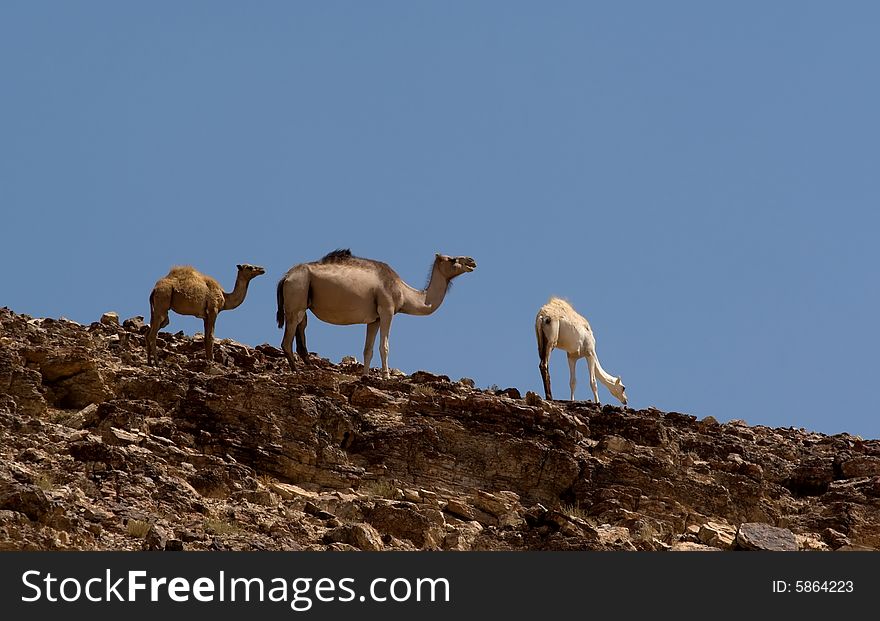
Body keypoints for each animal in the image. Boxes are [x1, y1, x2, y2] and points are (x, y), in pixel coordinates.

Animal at [278, 248, 478, 378]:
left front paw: (365, 376)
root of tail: (285, 277)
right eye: (452, 259)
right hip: (297, 292)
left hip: (303, 298)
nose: (472, 261)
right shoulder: (387, 310)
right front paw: (386, 377)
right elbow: (384, 346)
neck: (403, 292)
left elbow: (368, 349)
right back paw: (297, 371)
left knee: (301, 327)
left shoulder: (373, 319)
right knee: (288, 338)